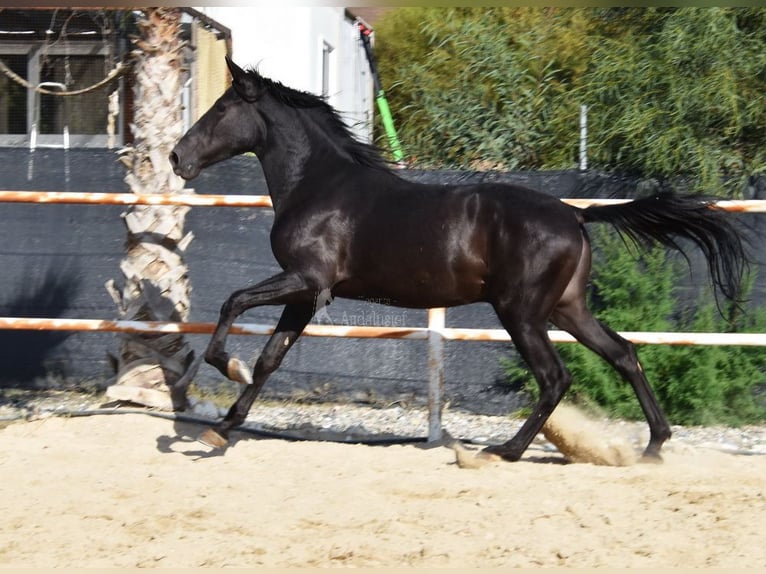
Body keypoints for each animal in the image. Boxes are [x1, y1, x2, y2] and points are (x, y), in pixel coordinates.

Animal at [170, 58, 752, 464]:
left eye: (221, 109)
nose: (178, 157)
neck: (319, 185)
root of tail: (574, 214)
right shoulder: (309, 293)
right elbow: (271, 358)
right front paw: (223, 427)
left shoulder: (305, 279)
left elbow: (231, 303)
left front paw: (227, 366)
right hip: (567, 309)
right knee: (624, 354)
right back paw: (654, 445)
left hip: (521, 312)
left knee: (555, 376)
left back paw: (504, 451)